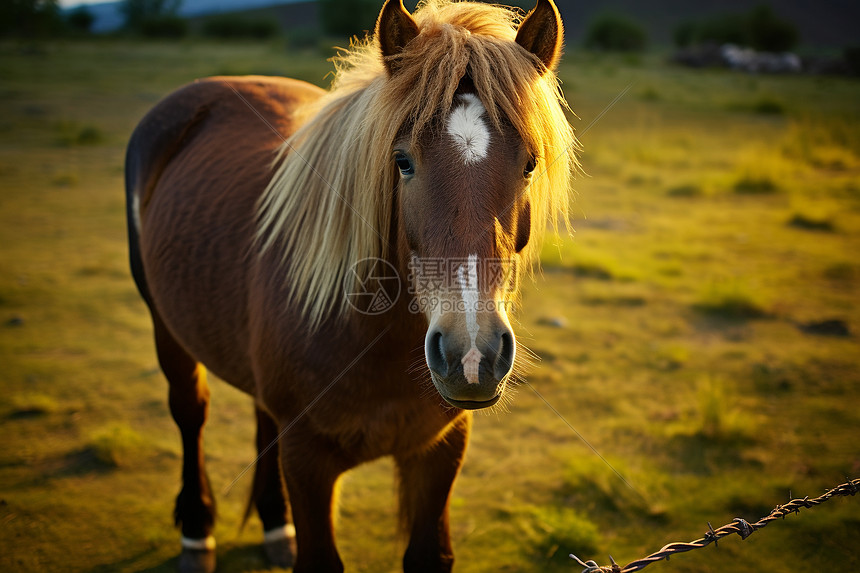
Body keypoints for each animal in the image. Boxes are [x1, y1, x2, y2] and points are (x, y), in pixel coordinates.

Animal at [122, 1, 576, 568]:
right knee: (190, 411)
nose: (472, 355)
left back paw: (275, 526)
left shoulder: (440, 450)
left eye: (529, 164)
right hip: (166, 327)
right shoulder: (307, 461)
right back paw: (196, 532)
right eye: (402, 162)